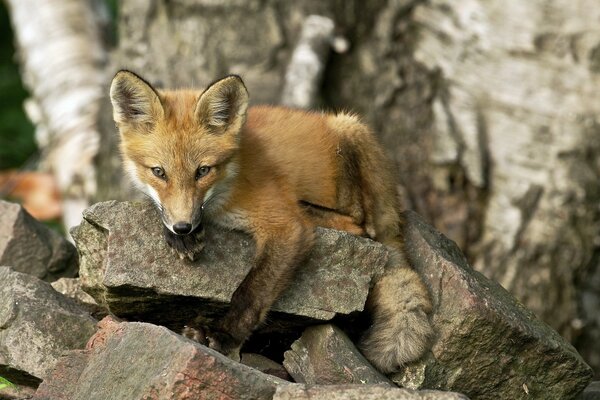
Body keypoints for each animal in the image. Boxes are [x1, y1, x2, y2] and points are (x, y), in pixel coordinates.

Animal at [110, 70, 434, 374]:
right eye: (159, 172)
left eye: (203, 171)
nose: (183, 226)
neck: (229, 182)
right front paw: (181, 236)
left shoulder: (285, 226)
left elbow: (251, 292)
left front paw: (224, 335)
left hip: (350, 133)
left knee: (360, 224)